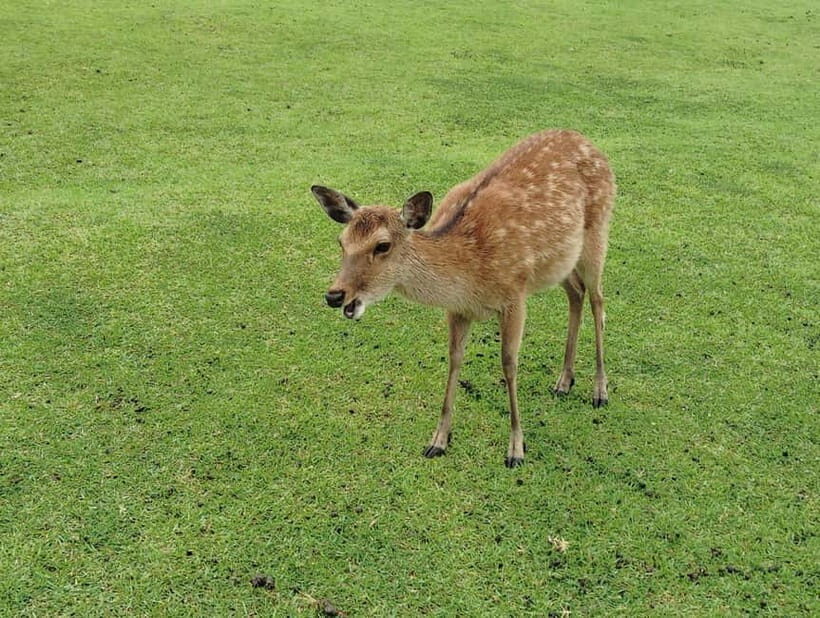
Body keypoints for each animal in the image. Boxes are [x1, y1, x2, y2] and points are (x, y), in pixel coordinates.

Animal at [311, 129, 615, 467]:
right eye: (341, 242)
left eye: (382, 245)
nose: (335, 295)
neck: (469, 273)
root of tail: (587, 142)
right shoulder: (457, 309)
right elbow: (455, 358)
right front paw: (438, 440)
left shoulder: (515, 293)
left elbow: (509, 363)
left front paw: (516, 449)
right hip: (561, 262)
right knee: (576, 293)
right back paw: (564, 382)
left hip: (598, 231)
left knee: (598, 300)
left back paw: (599, 390)